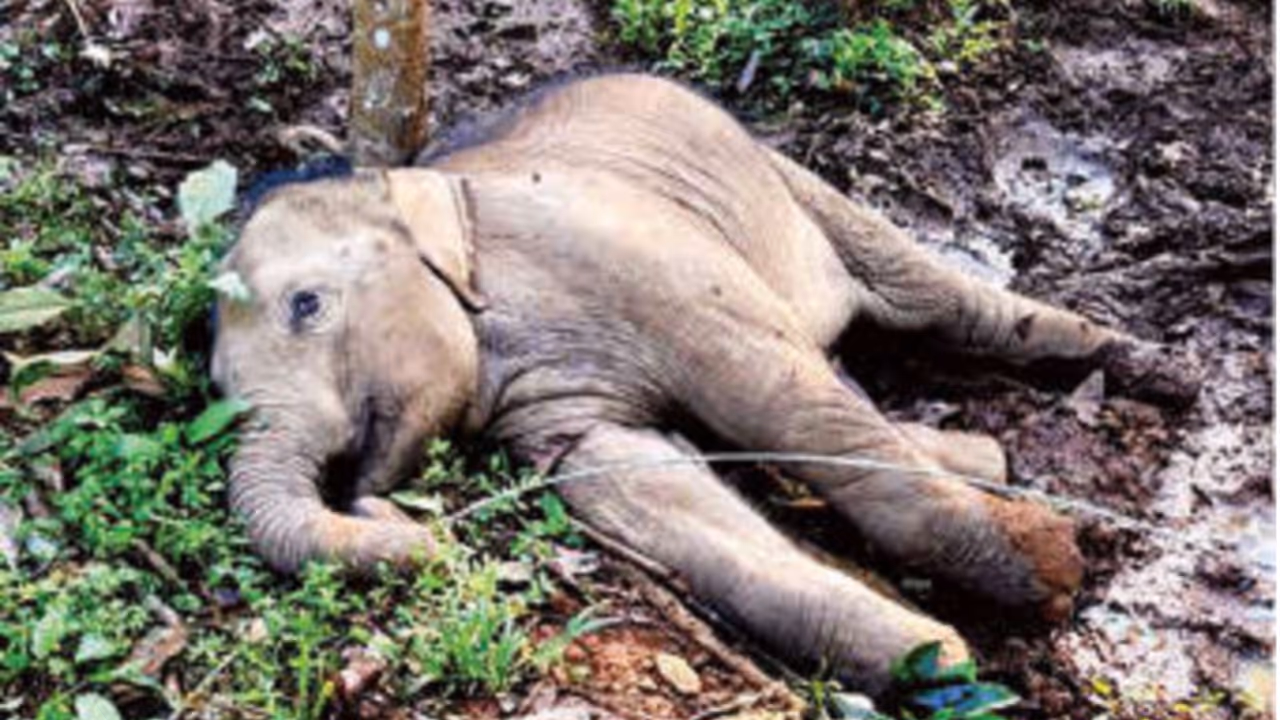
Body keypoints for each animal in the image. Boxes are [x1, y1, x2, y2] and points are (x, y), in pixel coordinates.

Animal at [211, 74, 1197, 693]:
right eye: (216, 375)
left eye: (306, 305)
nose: (391, 513)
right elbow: (645, 487)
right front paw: (937, 662)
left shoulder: (636, 263)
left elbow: (772, 397)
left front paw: (1054, 571)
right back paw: (985, 460)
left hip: (785, 174)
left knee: (934, 299)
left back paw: (1160, 376)